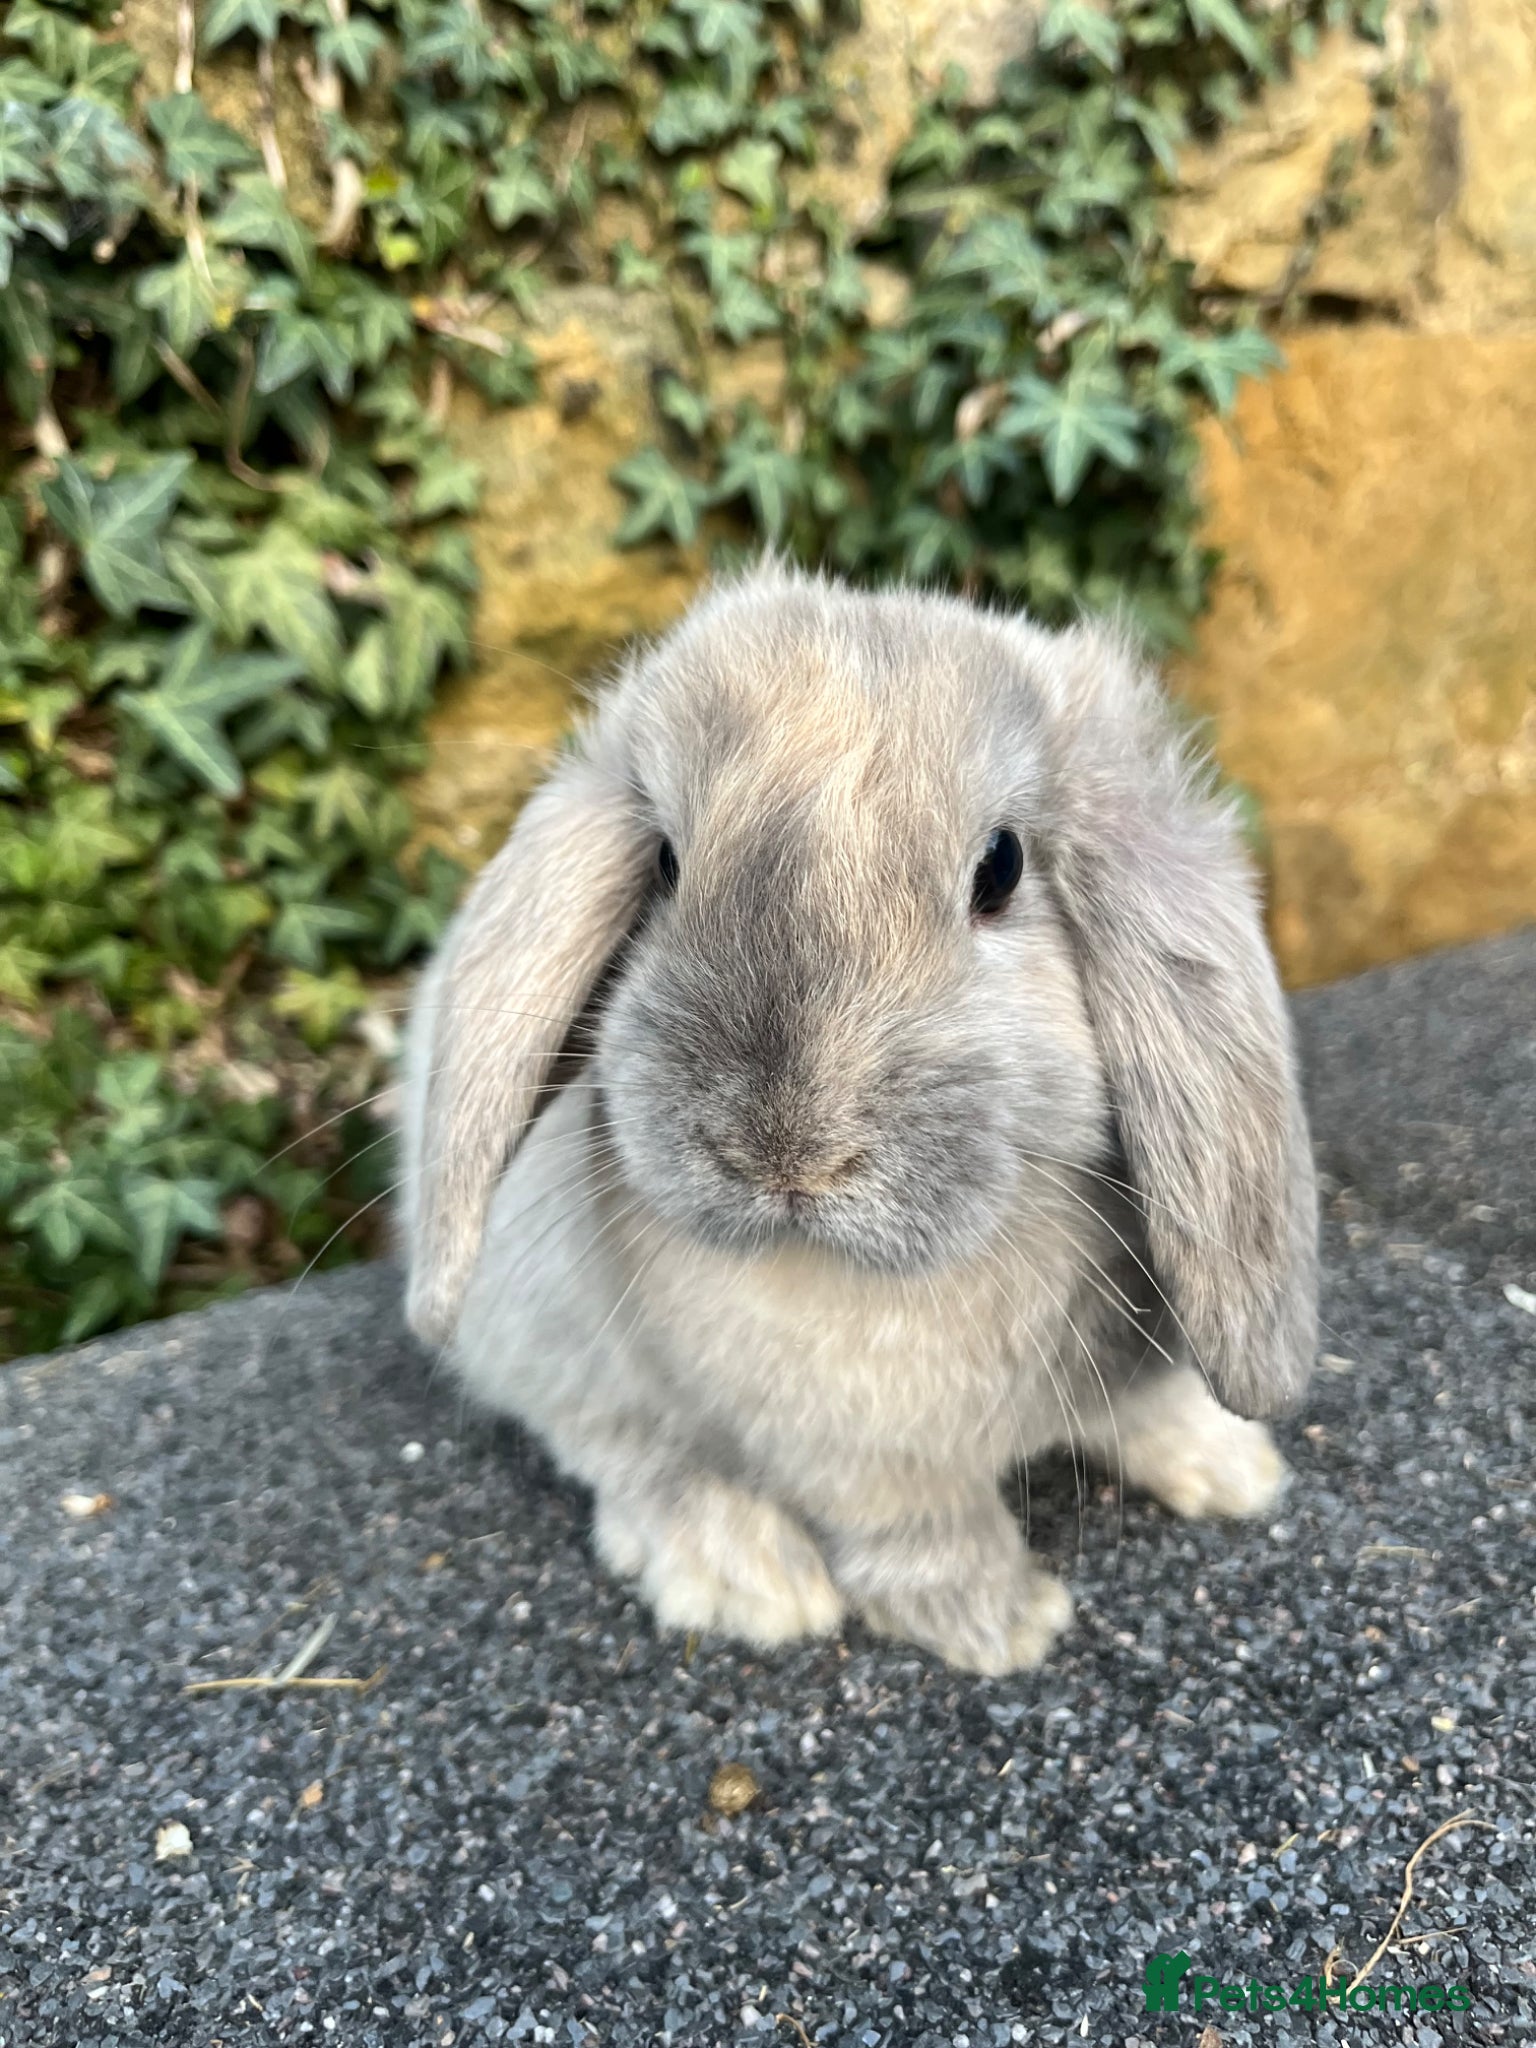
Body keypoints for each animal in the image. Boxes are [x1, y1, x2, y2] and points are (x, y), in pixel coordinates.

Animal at [399, 565, 1317, 1676]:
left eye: (1002, 867)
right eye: (664, 865)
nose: (784, 1153)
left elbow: (1154, 1405)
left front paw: (1236, 1469)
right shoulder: (857, 1464)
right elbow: (924, 1533)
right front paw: (1002, 1623)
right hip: (550, 1345)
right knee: (625, 1453)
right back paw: (750, 1573)